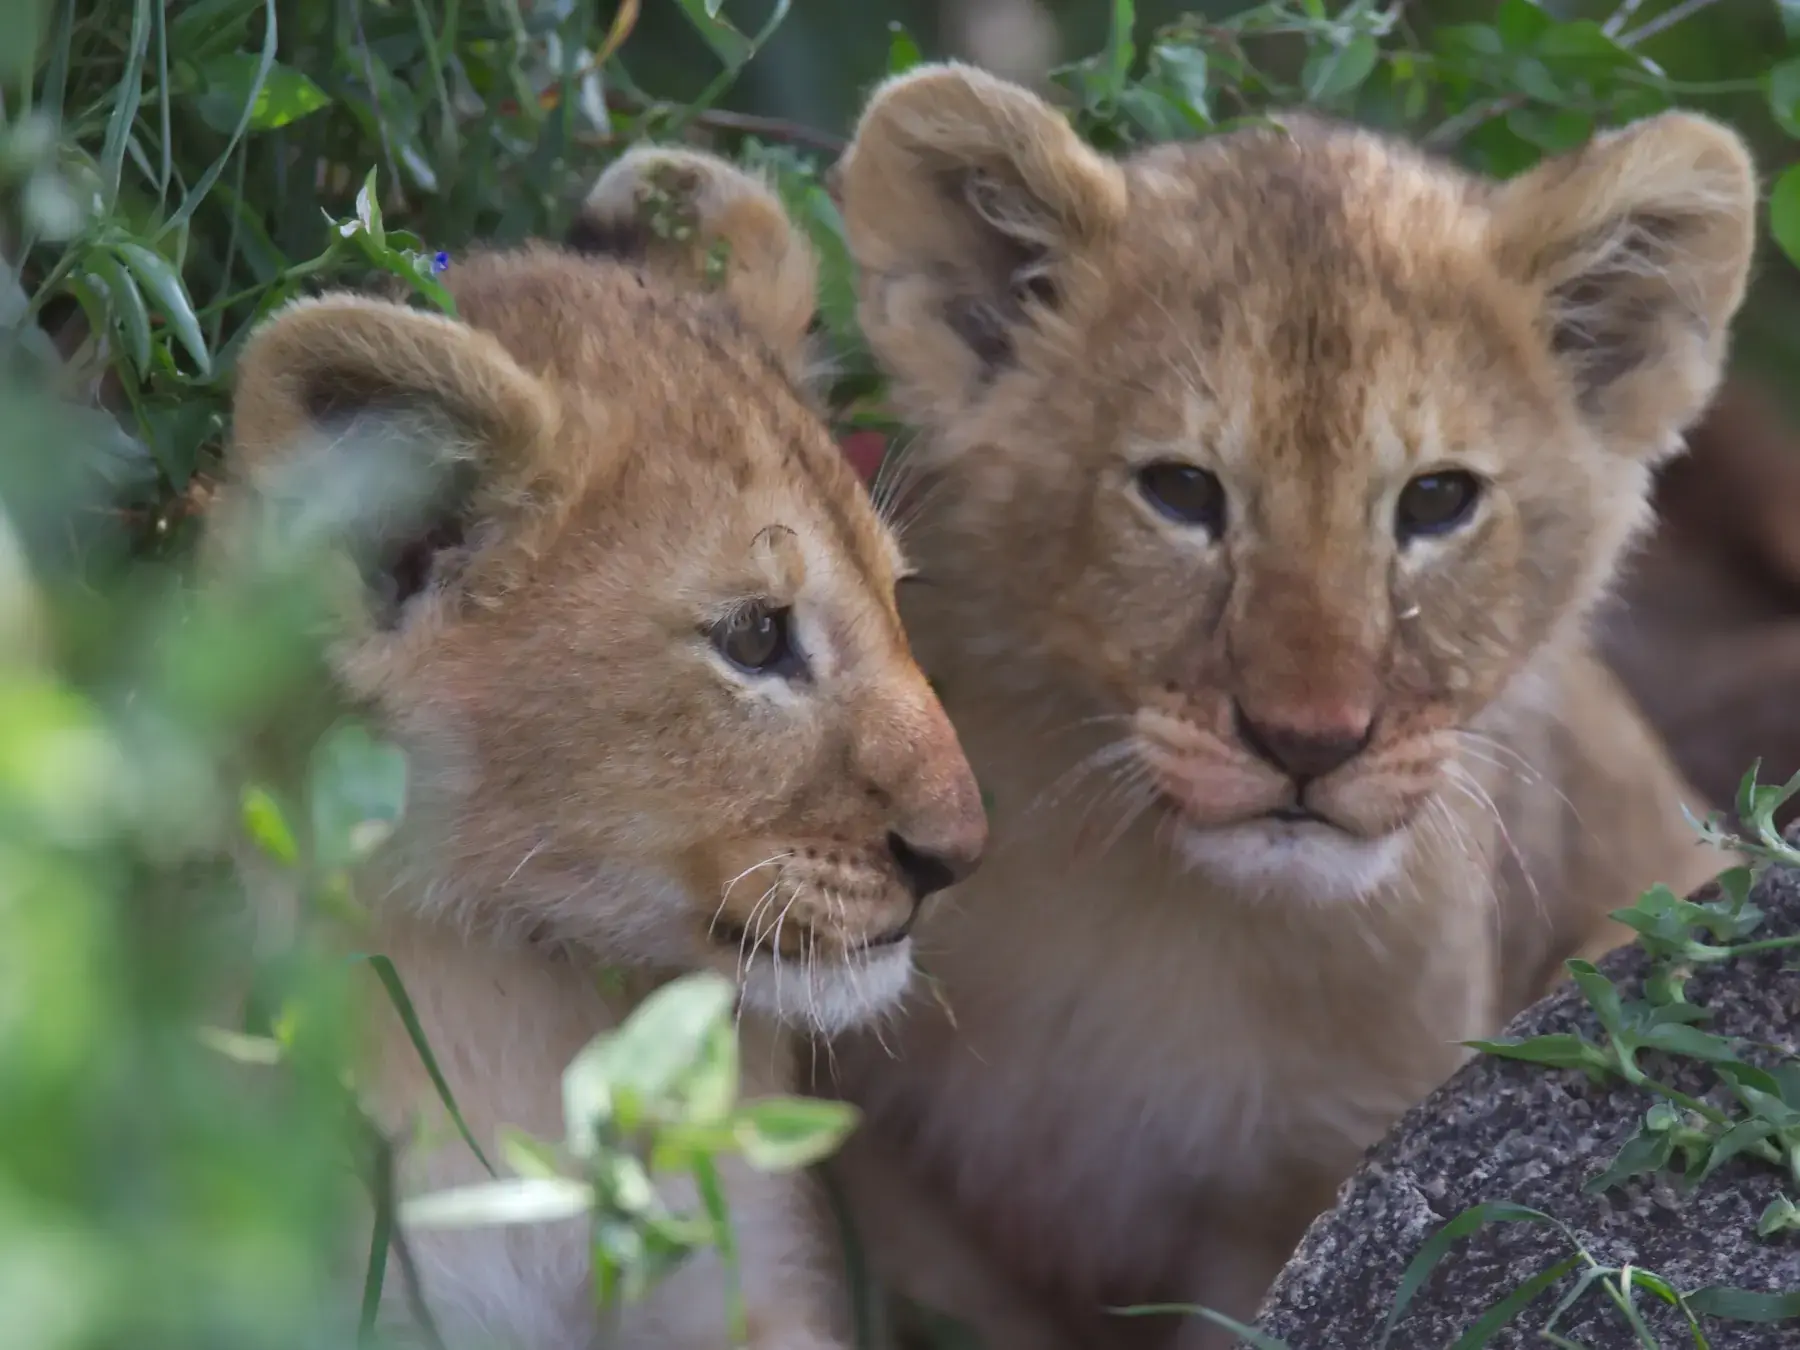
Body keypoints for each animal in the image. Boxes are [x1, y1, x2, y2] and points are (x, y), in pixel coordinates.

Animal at [812, 64, 1754, 1349]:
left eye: (1438, 501)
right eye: (1180, 491)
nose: (1309, 741)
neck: (1161, 911)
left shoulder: (1320, 1172)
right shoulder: (897, 1170)